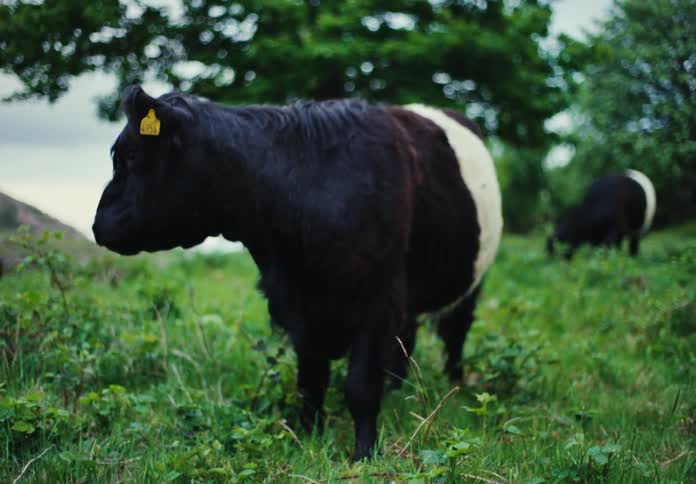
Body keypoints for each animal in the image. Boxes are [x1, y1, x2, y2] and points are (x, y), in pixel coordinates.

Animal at [92, 86, 503, 460]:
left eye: (130, 155)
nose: (99, 224)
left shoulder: (377, 298)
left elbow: (360, 385)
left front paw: (364, 453)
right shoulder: (295, 305)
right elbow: (311, 379)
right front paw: (306, 436)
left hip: (470, 280)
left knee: (455, 333)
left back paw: (454, 387)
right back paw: (398, 389)